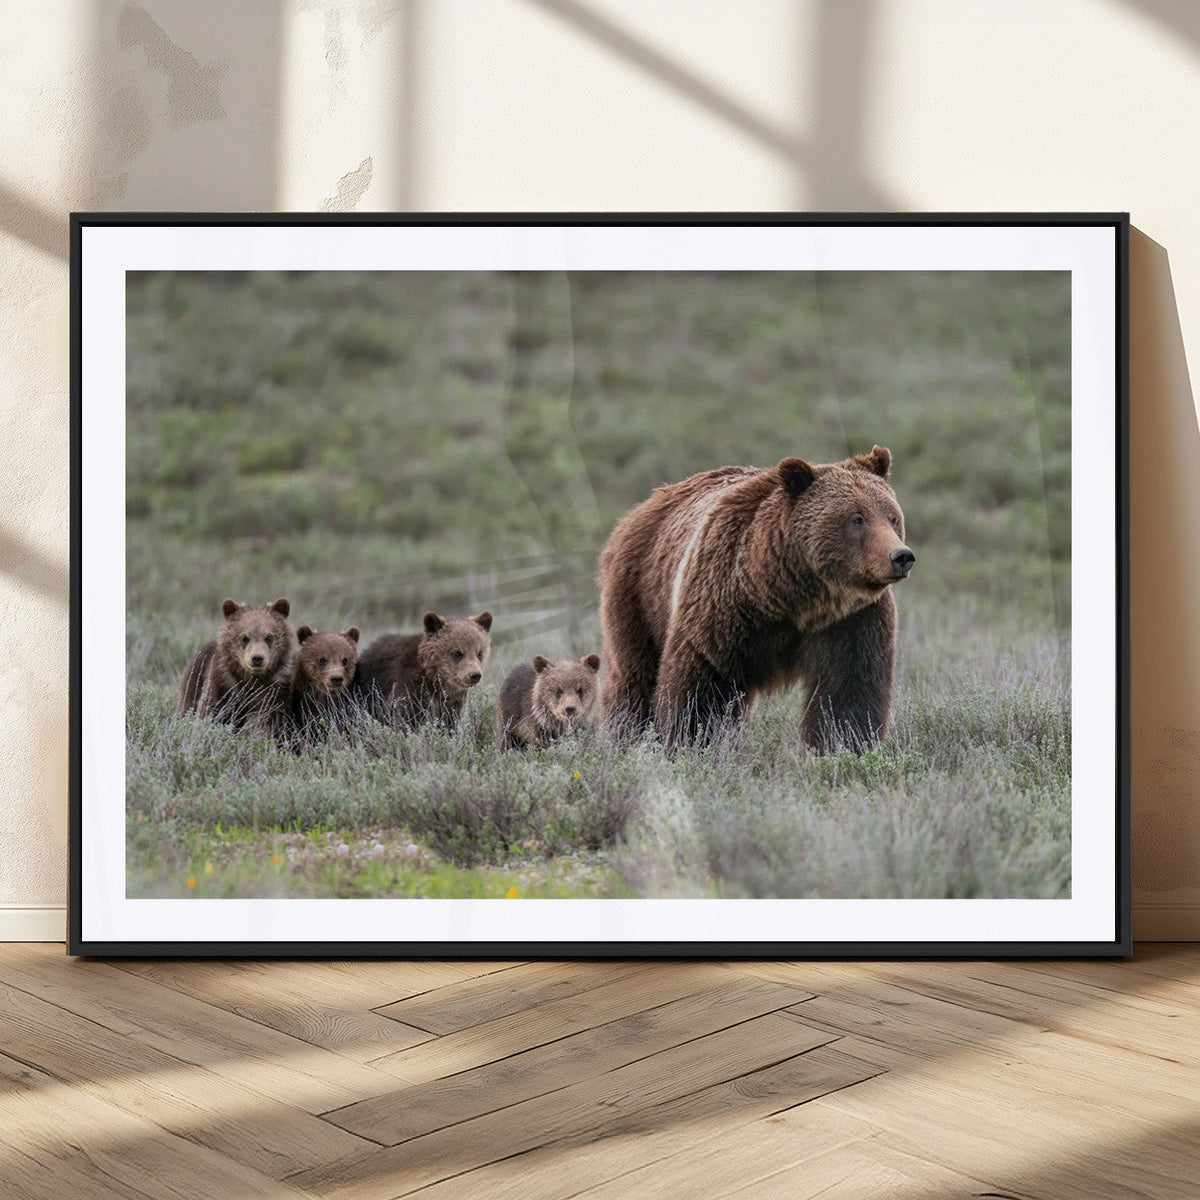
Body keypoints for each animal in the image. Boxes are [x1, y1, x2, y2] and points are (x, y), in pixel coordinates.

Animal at [178, 597, 299, 736]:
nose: (257, 658)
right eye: (244, 638)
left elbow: (269, 719)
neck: (252, 678)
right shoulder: (223, 683)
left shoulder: (277, 689)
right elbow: (211, 710)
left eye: (269, 637)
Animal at [355, 611, 493, 731]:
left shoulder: (451, 701)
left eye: (480, 653)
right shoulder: (411, 687)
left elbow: (449, 721)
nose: (474, 675)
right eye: (457, 653)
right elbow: (409, 718)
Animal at [597, 445, 914, 752]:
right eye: (857, 519)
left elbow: (849, 691)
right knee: (634, 676)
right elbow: (701, 687)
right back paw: (625, 736)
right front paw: (691, 743)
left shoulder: (851, 620)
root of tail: (645, 505)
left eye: (892, 517)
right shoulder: (722, 605)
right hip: (640, 593)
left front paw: (843, 746)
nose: (901, 556)